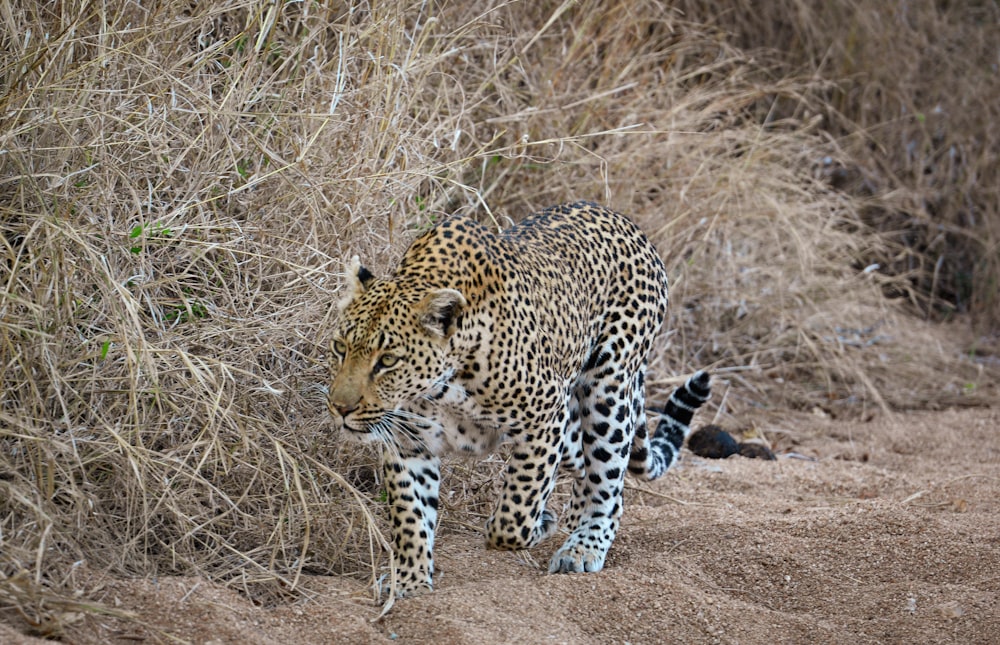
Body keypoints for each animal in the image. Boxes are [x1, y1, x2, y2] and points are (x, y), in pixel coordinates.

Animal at [330, 200, 712, 592]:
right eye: (340, 348)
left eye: (388, 360)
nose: (340, 408)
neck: (442, 385)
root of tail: (624, 221)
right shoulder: (408, 442)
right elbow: (409, 515)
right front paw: (408, 580)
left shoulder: (545, 418)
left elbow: (513, 515)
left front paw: (538, 524)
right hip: (575, 419)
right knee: (583, 462)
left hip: (607, 390)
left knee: (608, 483)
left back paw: (582, 546)